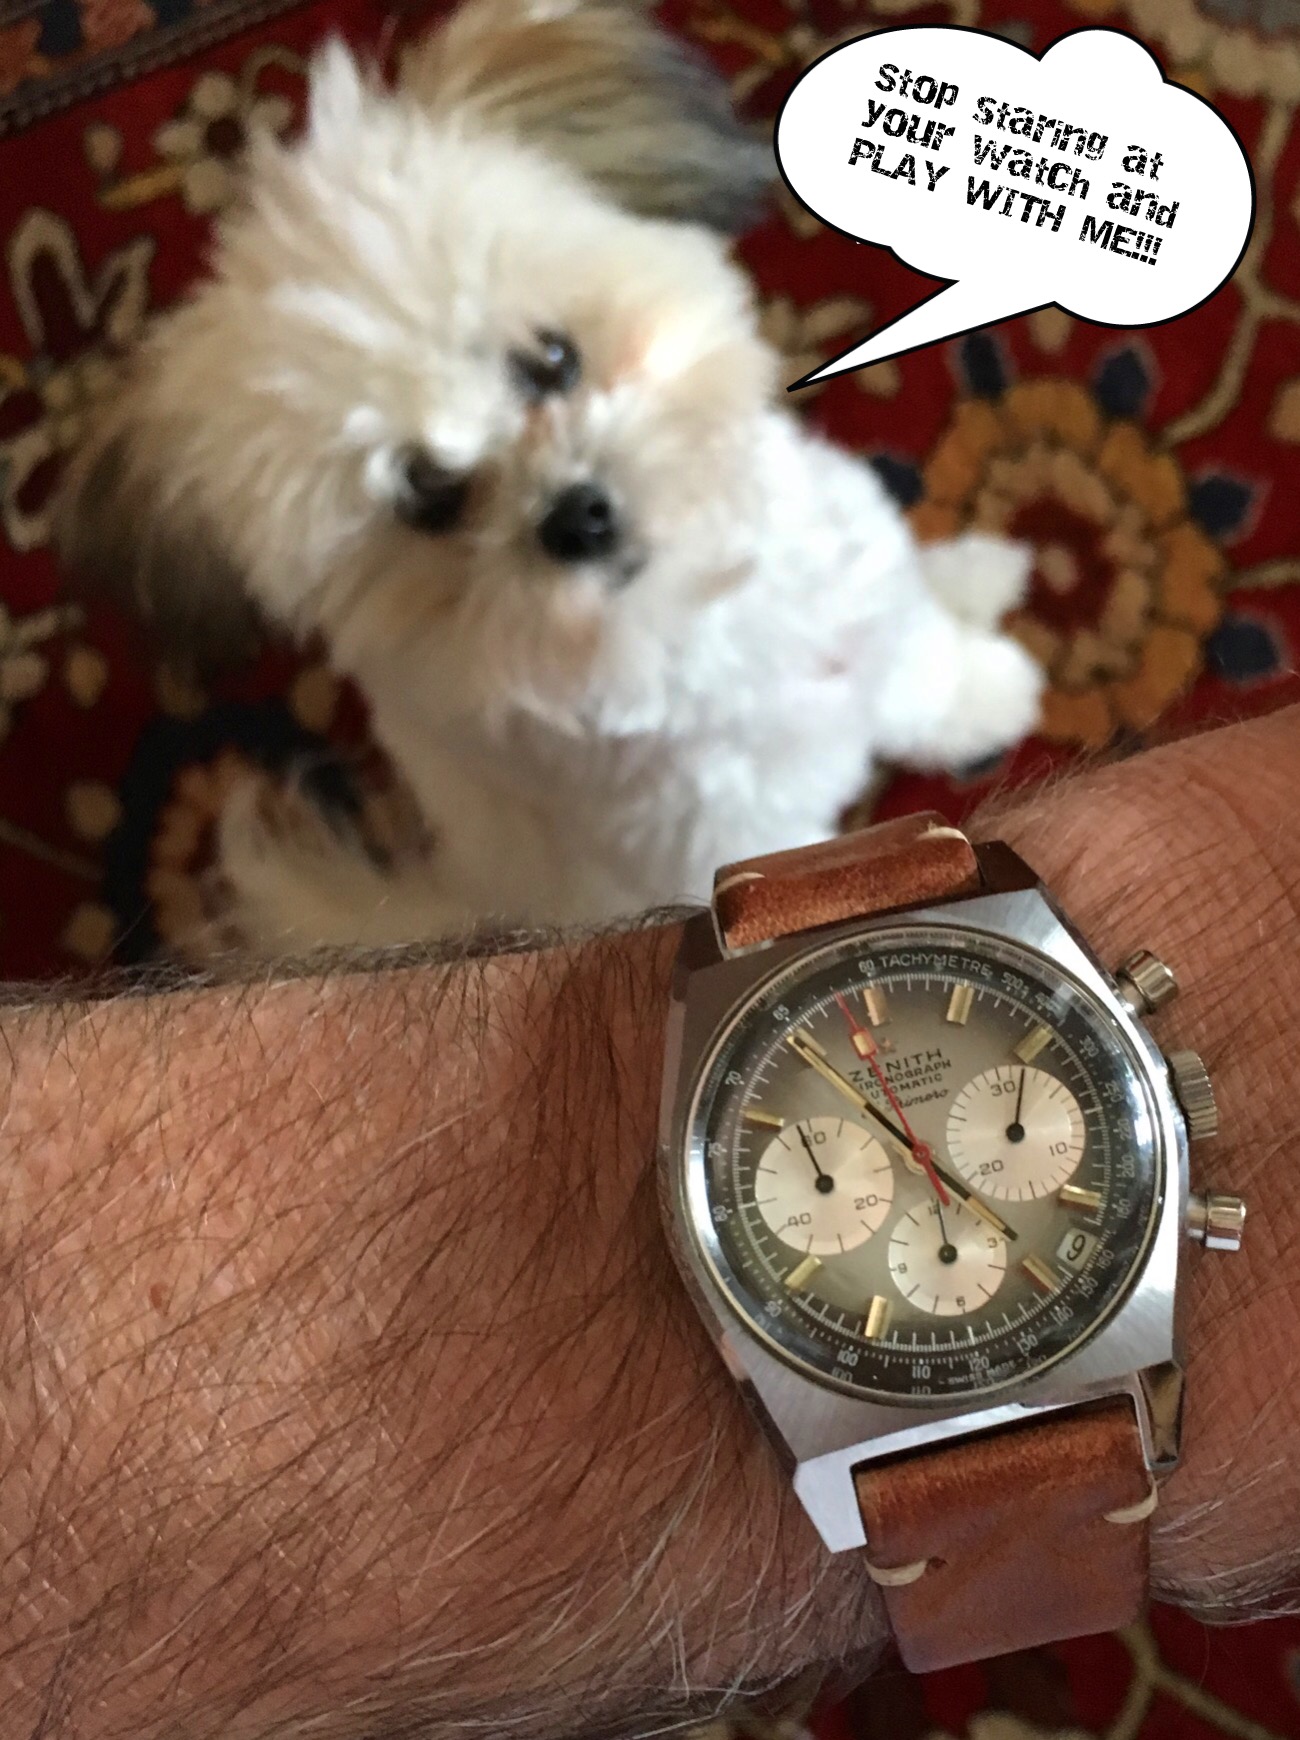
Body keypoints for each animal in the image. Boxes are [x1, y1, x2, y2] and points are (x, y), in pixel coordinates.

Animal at [59, 0, 1043, 956]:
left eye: (550, 359)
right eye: (426, 496)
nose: (574, 516)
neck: (700, 608)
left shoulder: (863, 607)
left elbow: (924, 670)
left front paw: (985, 696)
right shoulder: (732, 828)